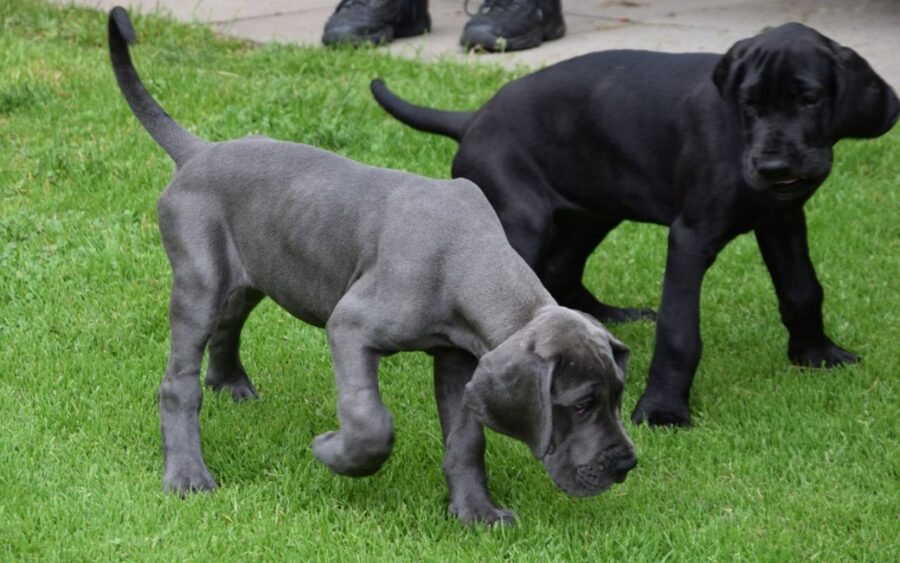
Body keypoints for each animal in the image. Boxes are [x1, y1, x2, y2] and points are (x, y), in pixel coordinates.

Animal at [109, 6, 636, 528]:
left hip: (253, 270)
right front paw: (332, 452)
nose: (627, 465)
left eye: (619, 394)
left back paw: (230, 384)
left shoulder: (458, 358)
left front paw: (474, 511)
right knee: (178, 383)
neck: (468, 259)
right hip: (199, 279)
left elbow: (467, 440)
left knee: (229, 322)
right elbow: (370, 421)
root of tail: (198, 152)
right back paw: (187, 475)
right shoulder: (351, 326)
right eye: (582, 404)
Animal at [370, 22, 896, 428]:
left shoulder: (783, 219)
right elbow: (680, 331)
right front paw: (663, 411)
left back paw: (604, 318)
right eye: (749, 104)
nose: (772, 166)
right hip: (522, 220)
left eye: (809, 99)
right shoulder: (691, 237)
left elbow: (803, 289)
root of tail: (473, 118)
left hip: (594, 211)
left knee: (560, 270)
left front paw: (817, 353)